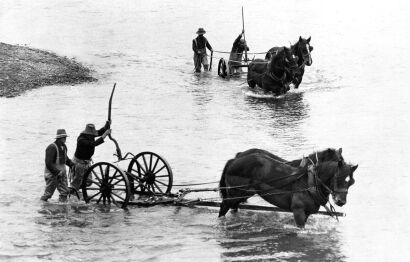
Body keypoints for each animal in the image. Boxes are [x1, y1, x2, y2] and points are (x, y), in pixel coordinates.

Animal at [219, 149, 358, 227]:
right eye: (337, 178)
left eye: (351, 182)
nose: (341, 201)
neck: (309, 182)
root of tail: (234, 160)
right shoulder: (298, 211)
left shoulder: (306, 213)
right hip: (235, 193)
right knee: (224, 207)